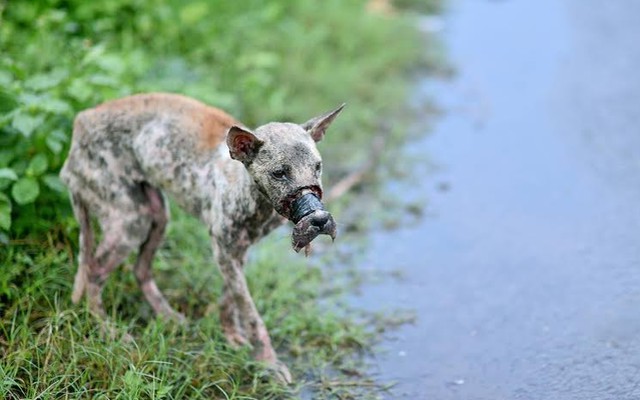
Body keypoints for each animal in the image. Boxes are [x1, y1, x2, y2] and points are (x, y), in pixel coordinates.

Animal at [58, 92, 344, 382]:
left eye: (318, 167)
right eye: (279, 173)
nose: (319, 220)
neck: (250, 193)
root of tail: (81, 121)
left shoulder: (237, 253)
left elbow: (230, 299)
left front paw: (232, 338)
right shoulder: (224, 252)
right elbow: (251, 314)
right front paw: (268, 363)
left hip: (157, 216)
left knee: (139, 270)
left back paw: (169, 316)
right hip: (130, 222)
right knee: (93, 273)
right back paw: (108, 330)